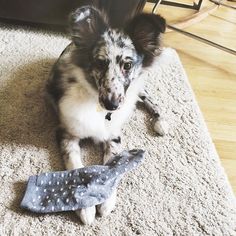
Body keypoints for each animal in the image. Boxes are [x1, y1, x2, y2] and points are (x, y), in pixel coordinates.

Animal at [46, 6, 168, 225]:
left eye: (127, 65)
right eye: (100, 63)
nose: (112, 105)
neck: (98, 108)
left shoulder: (114, 135)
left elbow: (113, 167)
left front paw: (106, 202)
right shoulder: (66, 134)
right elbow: (76, 168)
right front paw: (85, 208)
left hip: (137, 90)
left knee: (148, 99)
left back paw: (160, 121)